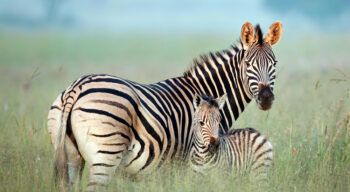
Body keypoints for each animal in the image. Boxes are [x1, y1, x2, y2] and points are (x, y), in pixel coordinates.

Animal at [47, 21, 282, 190]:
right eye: (248, 64)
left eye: (274, 64)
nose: (266, 98)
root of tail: (76, 87)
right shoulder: (188, 162)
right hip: (105, 154)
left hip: (71, 155)